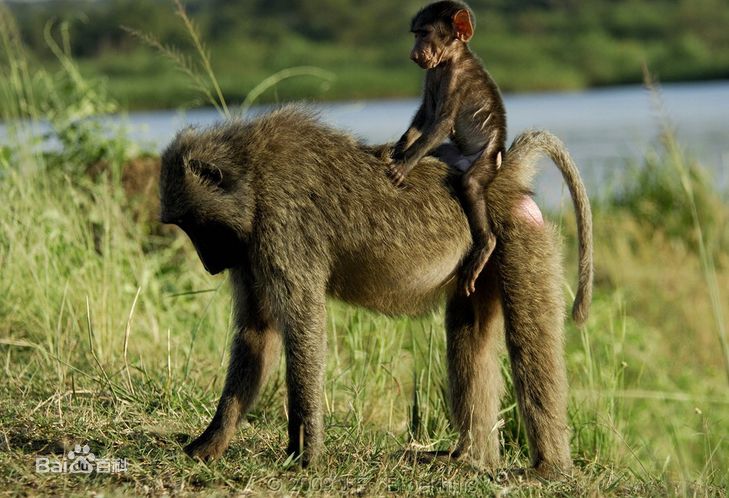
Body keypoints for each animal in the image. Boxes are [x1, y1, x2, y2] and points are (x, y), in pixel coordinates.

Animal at [159, 106, 593, 477]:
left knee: (528, 341)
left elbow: (303, 327)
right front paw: (209, 443)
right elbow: (255, 333)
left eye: (195, 225)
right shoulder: (250, 251)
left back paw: (548, 469)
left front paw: (305, 455)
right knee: (469, 337)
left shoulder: (283, 226)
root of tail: (508, 174)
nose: (210, 264)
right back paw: (468, 457)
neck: (252, 173)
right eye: (184, 224)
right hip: (480, 266)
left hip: (520, 235)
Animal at [386, 1, 507, 297]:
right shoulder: (433, 73)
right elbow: (425, 116)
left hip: (486, 160)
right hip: (454, 156)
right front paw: (399, 151)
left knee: (471, 184)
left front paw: (403, 166)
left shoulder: (456, 78)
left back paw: (486, 244)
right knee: (440, 153)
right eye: (415, 34)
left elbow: (441, 122)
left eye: (425, 33)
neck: (452, 58)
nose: (413, 54)